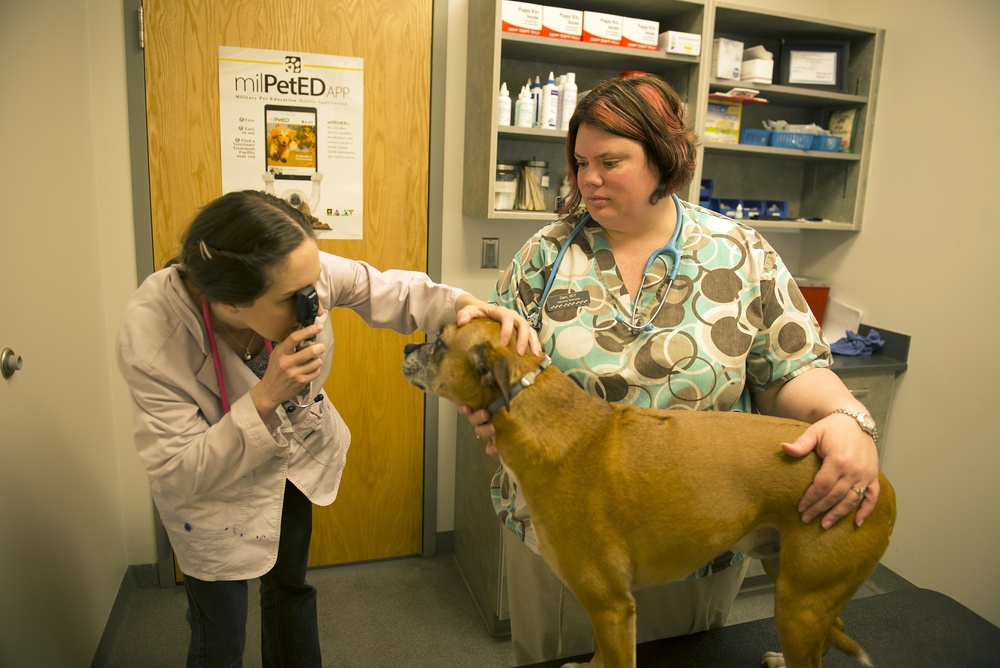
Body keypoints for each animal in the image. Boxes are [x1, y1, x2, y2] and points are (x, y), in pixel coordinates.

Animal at [400, 318, 900, 668]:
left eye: (440, 343)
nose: (407, 345)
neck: (552, 422)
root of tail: (879, 481)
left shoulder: (611, 606)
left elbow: (615, 659)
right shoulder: (606, 613)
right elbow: (601, 656)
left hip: (800, 605)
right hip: (793, 586)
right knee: (828, 636)